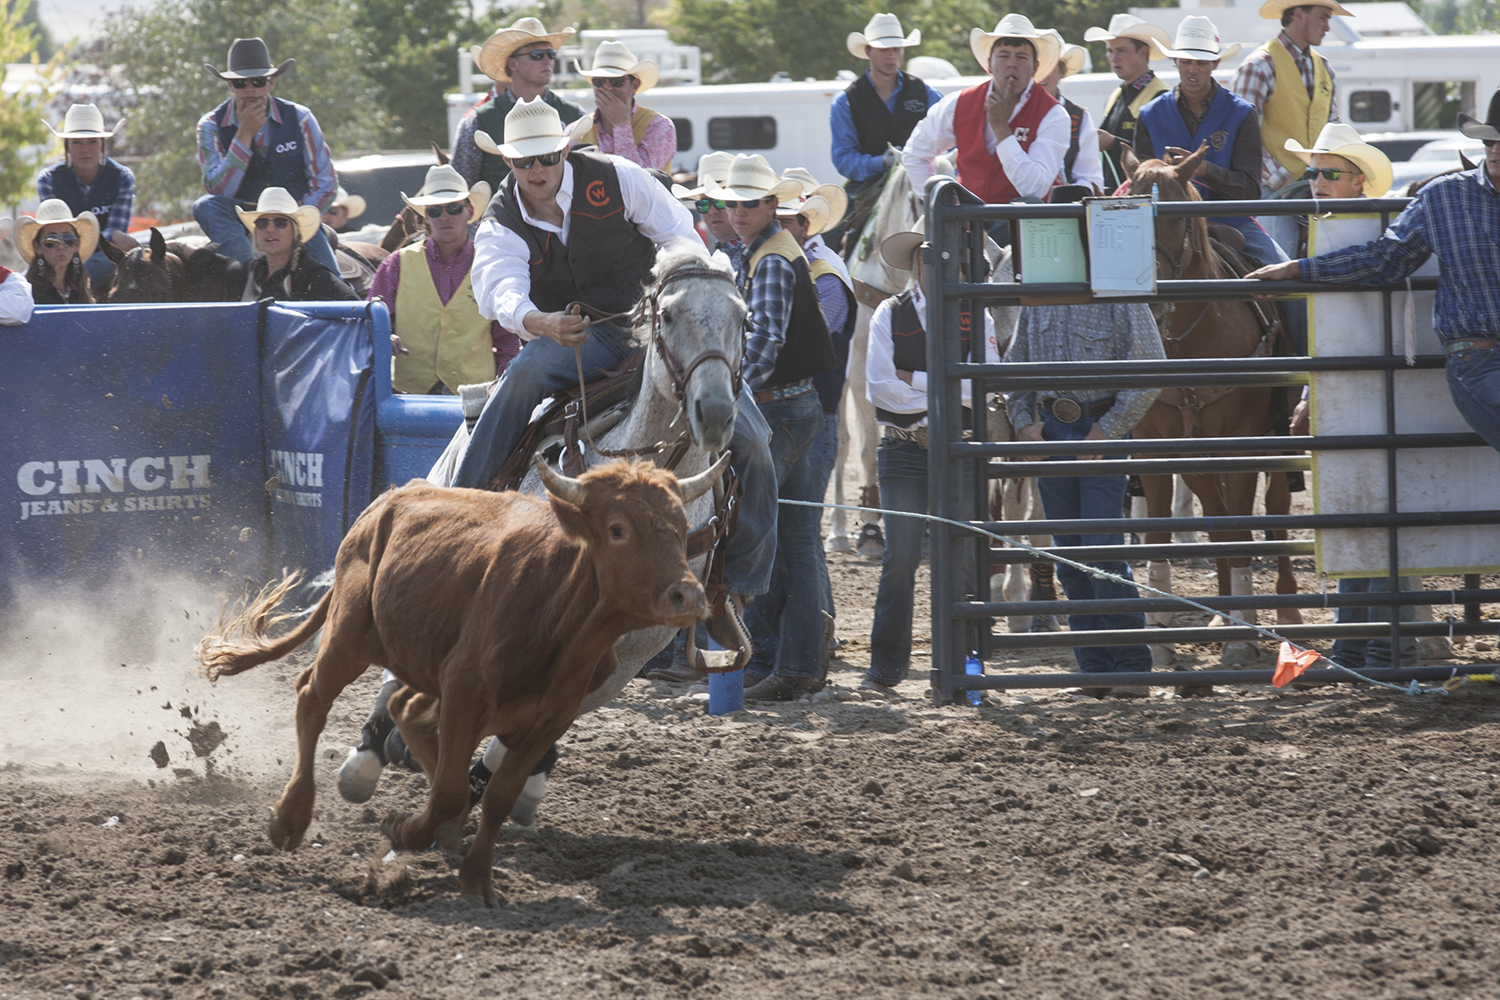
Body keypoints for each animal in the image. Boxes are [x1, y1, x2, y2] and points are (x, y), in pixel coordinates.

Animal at [1128, 146, 1302, 665]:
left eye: (1173, 217)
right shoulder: (1157, 450)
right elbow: (1161, 535)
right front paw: (1160, 641)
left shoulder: (1240, 445)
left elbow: (1241, 526)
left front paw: (1243, 638)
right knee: (1215, 511)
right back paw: (1223, 614)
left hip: (1277, 441)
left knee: (1275, 511)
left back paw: (1284, 612)